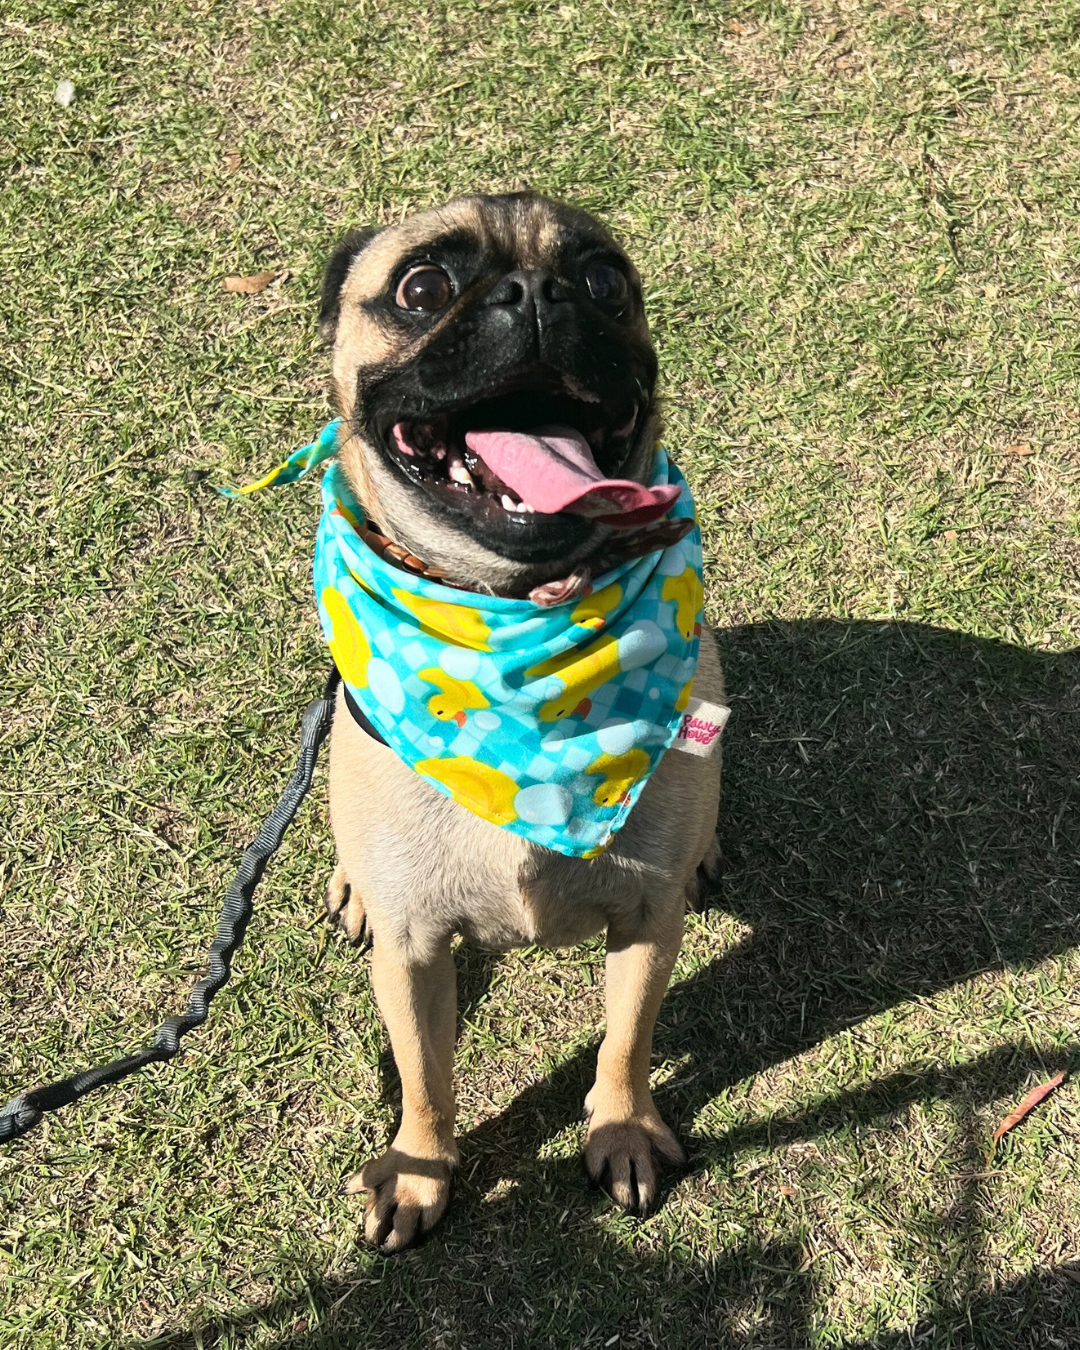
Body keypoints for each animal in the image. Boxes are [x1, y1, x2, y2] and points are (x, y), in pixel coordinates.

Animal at [321, 184, 723, 1247]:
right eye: (422, 288)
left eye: (606, 281)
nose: (538, 292)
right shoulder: (415, 948)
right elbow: (424, 1075)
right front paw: (419, 1171)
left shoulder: (646, 921)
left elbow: (625, 1043)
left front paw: (622, 1132)